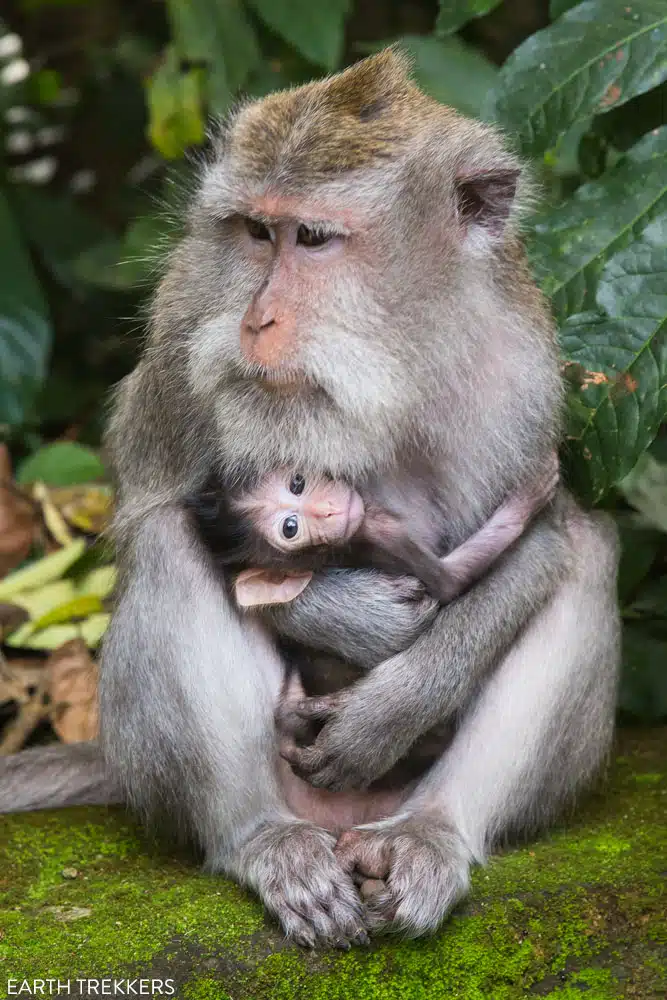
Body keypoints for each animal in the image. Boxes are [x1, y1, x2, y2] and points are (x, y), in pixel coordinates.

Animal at [186, 458, 560, 609]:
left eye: (297, 482)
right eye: (290, 528)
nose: (327, 510)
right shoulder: (387, 535)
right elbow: (448, 582)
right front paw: (525, 501)